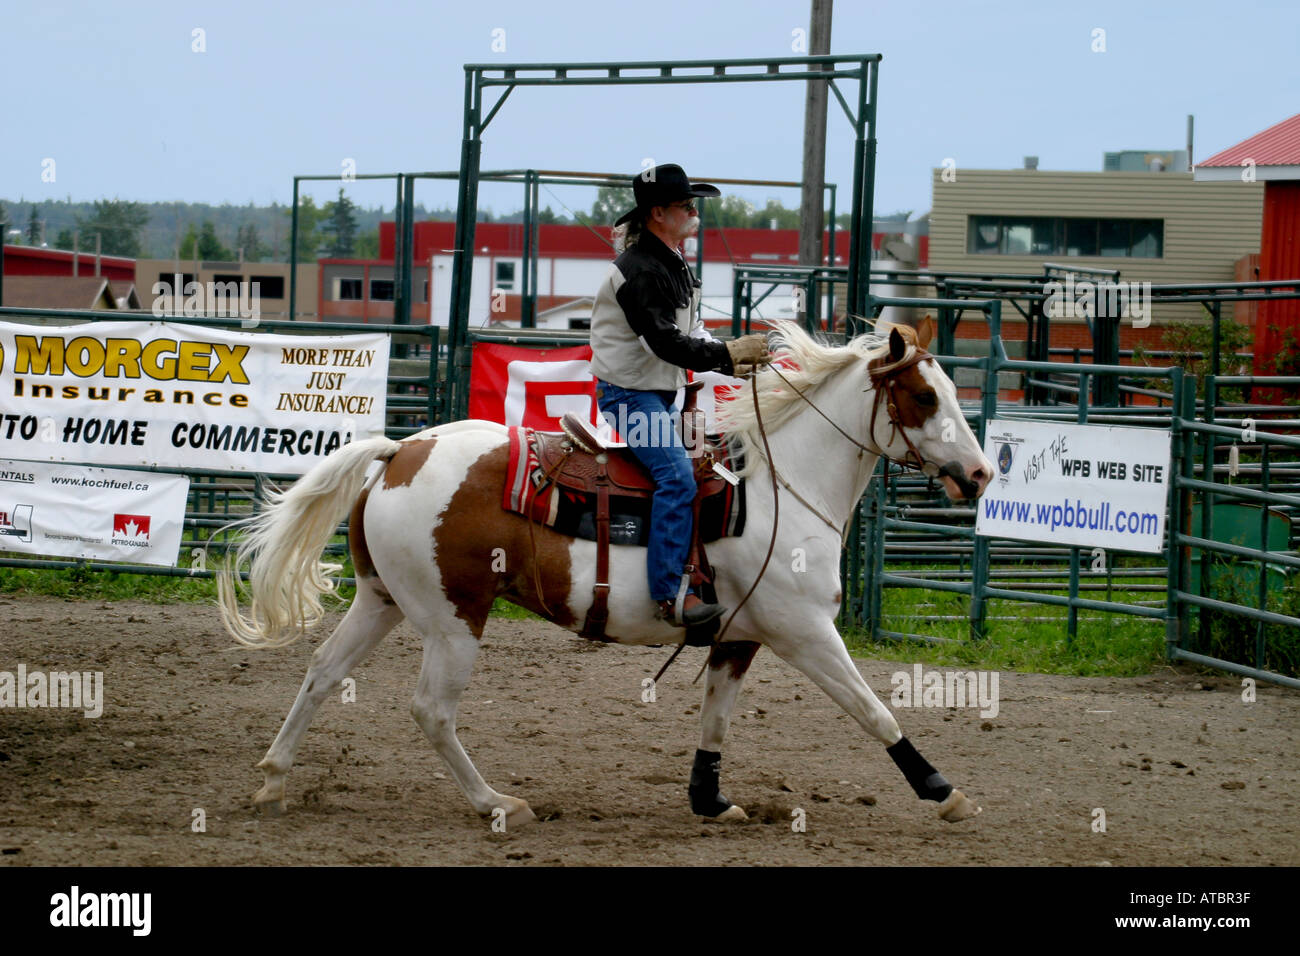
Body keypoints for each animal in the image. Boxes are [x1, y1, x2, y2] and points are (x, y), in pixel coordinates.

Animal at [220, 319, 993, 832]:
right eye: (925, 397)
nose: (982, 474)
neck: (781, 486)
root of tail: (400, 451)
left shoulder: (737, 637)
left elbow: (715, 720)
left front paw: (709, 800)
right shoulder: (803, 631)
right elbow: (874, 709)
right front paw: (942, 789)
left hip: (382, 599)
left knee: (323, 672)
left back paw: (272, 780)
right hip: (453, 619)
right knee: (431, 710)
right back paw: (497, 803)